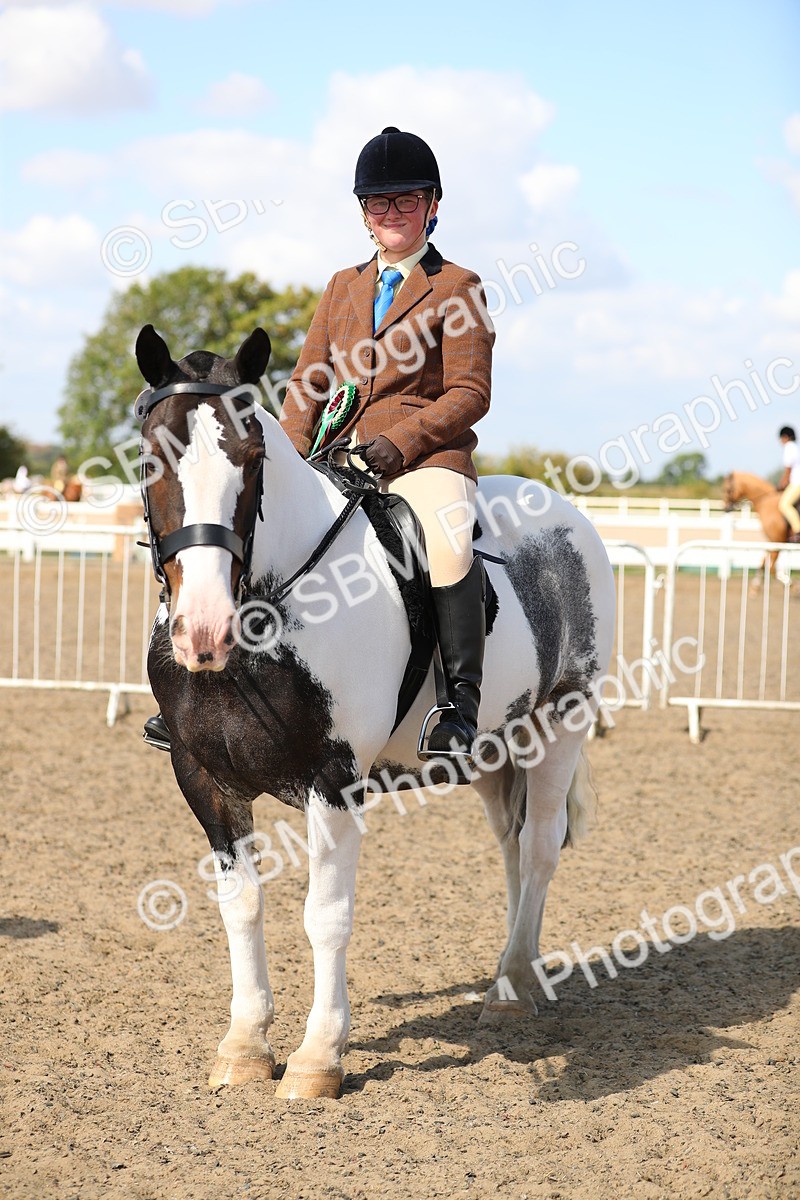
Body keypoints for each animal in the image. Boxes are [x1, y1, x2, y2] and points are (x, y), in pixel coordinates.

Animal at [135, 323, 616, 1100]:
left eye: (252, 459)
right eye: (153, 459)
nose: (202, 630)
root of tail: (561, 512)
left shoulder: (332, 781)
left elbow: (325, 916)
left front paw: (317, 1058)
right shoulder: (202, 776)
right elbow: (242, 905)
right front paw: (244, 1045)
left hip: (559, 723)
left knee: (541, 848)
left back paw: (514, 989)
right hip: (491, 749)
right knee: (512, 850)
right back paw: (514, 976)